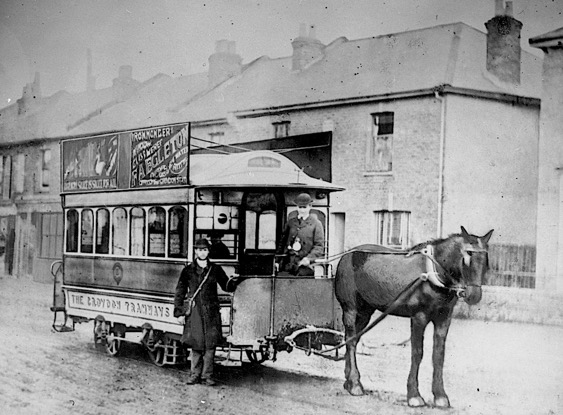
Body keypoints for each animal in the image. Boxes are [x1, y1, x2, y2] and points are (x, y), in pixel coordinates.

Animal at [334, 226, 494, 408]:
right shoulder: (419, 317)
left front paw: (440, 395)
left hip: (365, 312)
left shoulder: (444, 318)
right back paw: (354, 384)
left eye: (485, 257)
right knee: (351, 341)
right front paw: (414, 395)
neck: (433, 272)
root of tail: (347, 254)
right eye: (468, 254)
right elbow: (417, 353)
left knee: (352, 340)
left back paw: (349, 381)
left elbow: (438, 355)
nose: (474, 295)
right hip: (350, 309)